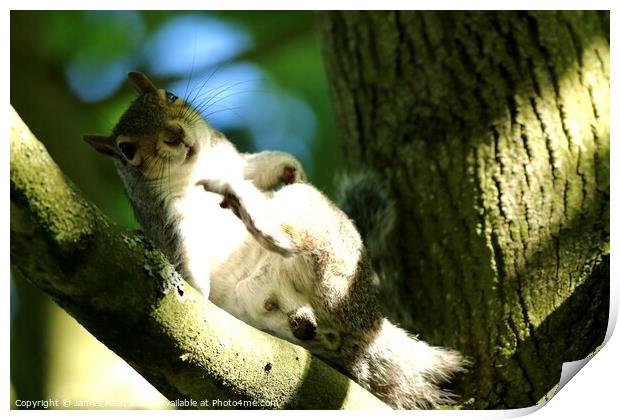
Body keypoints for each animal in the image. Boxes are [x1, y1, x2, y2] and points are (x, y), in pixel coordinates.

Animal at [85, 70, 468, 408]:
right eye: (127, 150)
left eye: (171, 96)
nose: (175, 135)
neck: (194, 172)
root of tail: (368, 324)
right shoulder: (169, 219)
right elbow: (185, 253)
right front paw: (191, 282)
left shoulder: (232, 159)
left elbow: (258, 165)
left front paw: (290, 167)